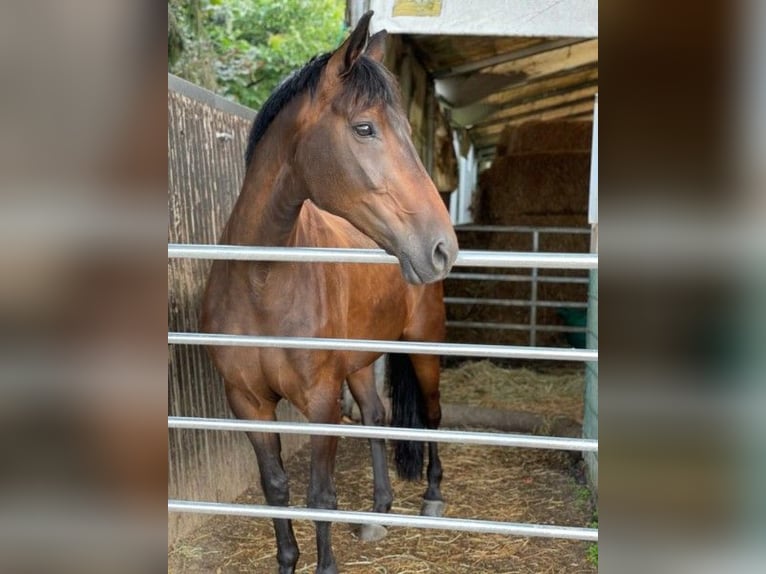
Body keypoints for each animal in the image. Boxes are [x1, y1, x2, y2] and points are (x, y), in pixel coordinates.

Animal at [201, 13, 460, 574]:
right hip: (359, 364)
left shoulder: (320, 402)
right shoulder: (248, 403)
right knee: (377, 417)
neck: (263, 282)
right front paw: (286, 562)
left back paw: (432, 497)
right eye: (364, 128)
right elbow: (276, 488)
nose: (442, 247)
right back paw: (378, 512)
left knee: (431, 414)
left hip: (425, 346)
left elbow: (320, 495)